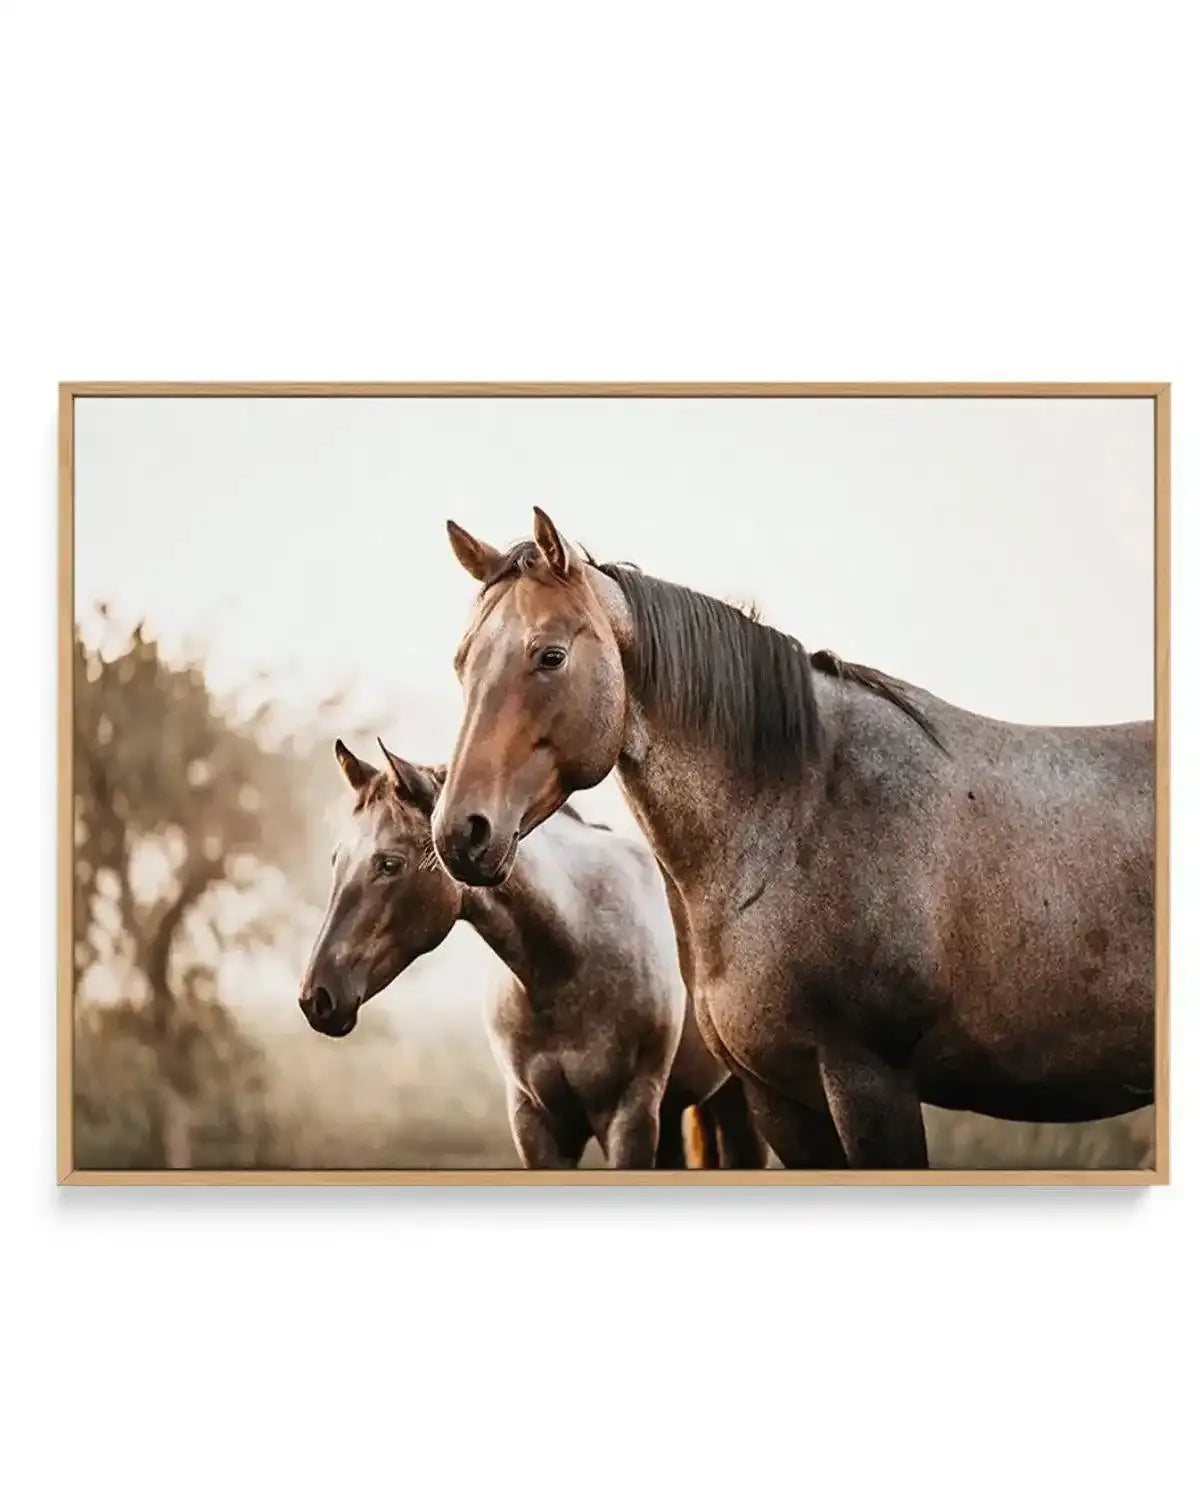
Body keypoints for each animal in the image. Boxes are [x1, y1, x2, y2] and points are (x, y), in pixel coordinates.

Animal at [298, 738, 765, 1170]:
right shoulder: (536, 1122)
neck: (569, 962)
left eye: (390, 864)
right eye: (336, 860)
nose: (316, 998)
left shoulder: (628, 1116)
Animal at [431, 507, 1155, 1170]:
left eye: (549, 656)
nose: (460, 832)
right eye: (462, 664)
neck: (797, 817)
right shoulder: (781, 1097)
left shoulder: (870, 1082)